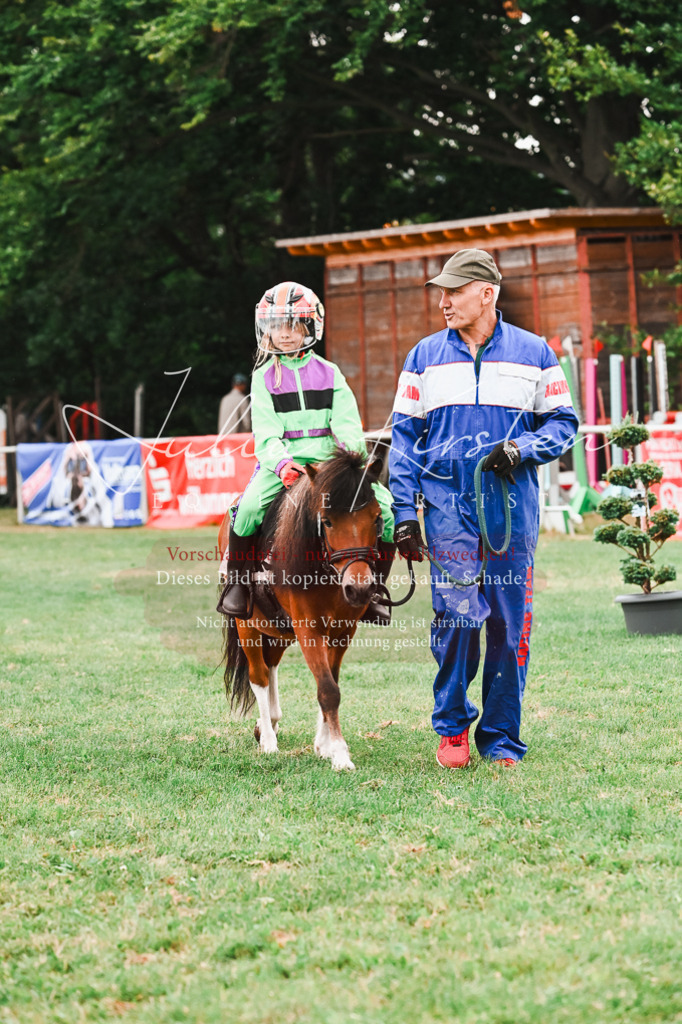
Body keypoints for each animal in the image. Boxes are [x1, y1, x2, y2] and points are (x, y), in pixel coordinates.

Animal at [218, 448, 387, 770]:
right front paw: (340, 754)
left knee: (271, 664)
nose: (359, 589)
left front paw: (325, 745)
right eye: (327, 521)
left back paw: (269, 722)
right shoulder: (309, 630)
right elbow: (328, 690)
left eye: (377, 518)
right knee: (259, 675)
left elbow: (331, 683)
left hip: (279, 628)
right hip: (247, 626)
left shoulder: (343, 633)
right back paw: (268, 740)